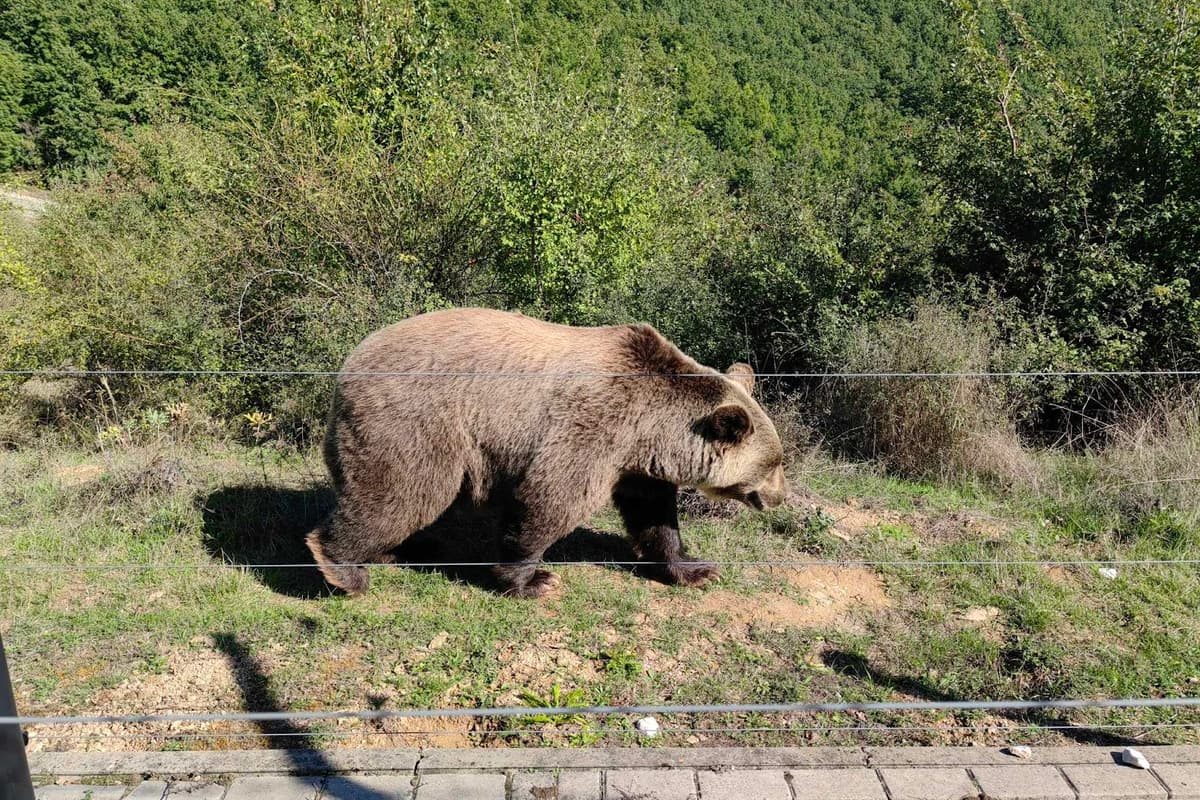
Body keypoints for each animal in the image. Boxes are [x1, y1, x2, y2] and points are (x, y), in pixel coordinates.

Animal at [306, 307, 787, 598]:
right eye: (773, 464)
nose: (780, 497)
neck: (651, 428)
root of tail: (352, 360)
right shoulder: (593, 425)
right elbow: (551, 500)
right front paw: (534, 579)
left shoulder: (637, 465)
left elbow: (654, 517)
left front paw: (696, 568)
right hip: (416, 421)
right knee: (401, 491)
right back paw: (344, 568)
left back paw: (400, 550)